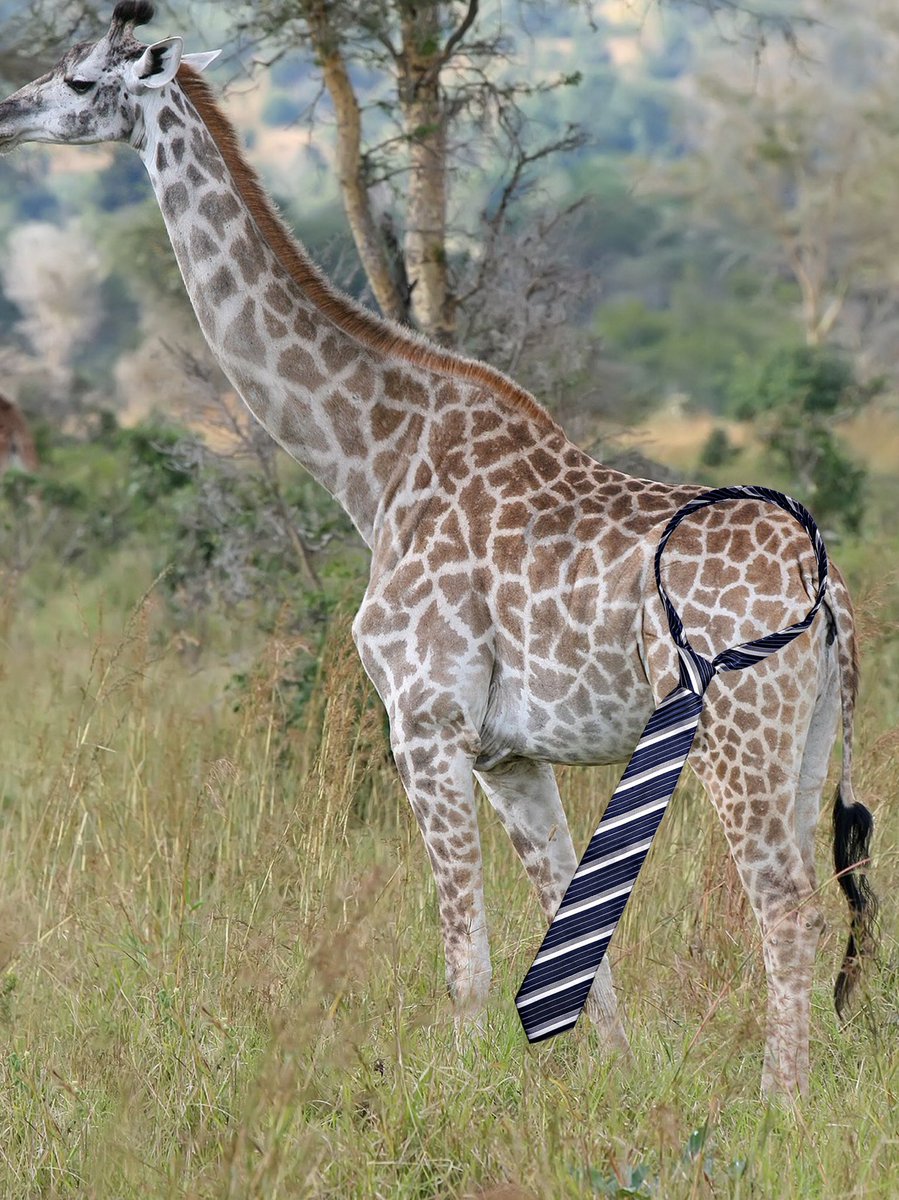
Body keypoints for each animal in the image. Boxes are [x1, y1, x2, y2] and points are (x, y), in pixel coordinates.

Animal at [0, 2, 876, 1096]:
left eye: (80, 80)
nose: (6, 111)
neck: (371, 465)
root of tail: (828, 592)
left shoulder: (422, 722)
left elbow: (465, 960)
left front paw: (449, 1105)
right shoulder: (508, 751)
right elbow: (574, 942)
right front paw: (613, 1092)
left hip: (735, 732)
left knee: (785, 908)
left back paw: (778, 1105)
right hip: (805, 737)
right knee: (809, 897)